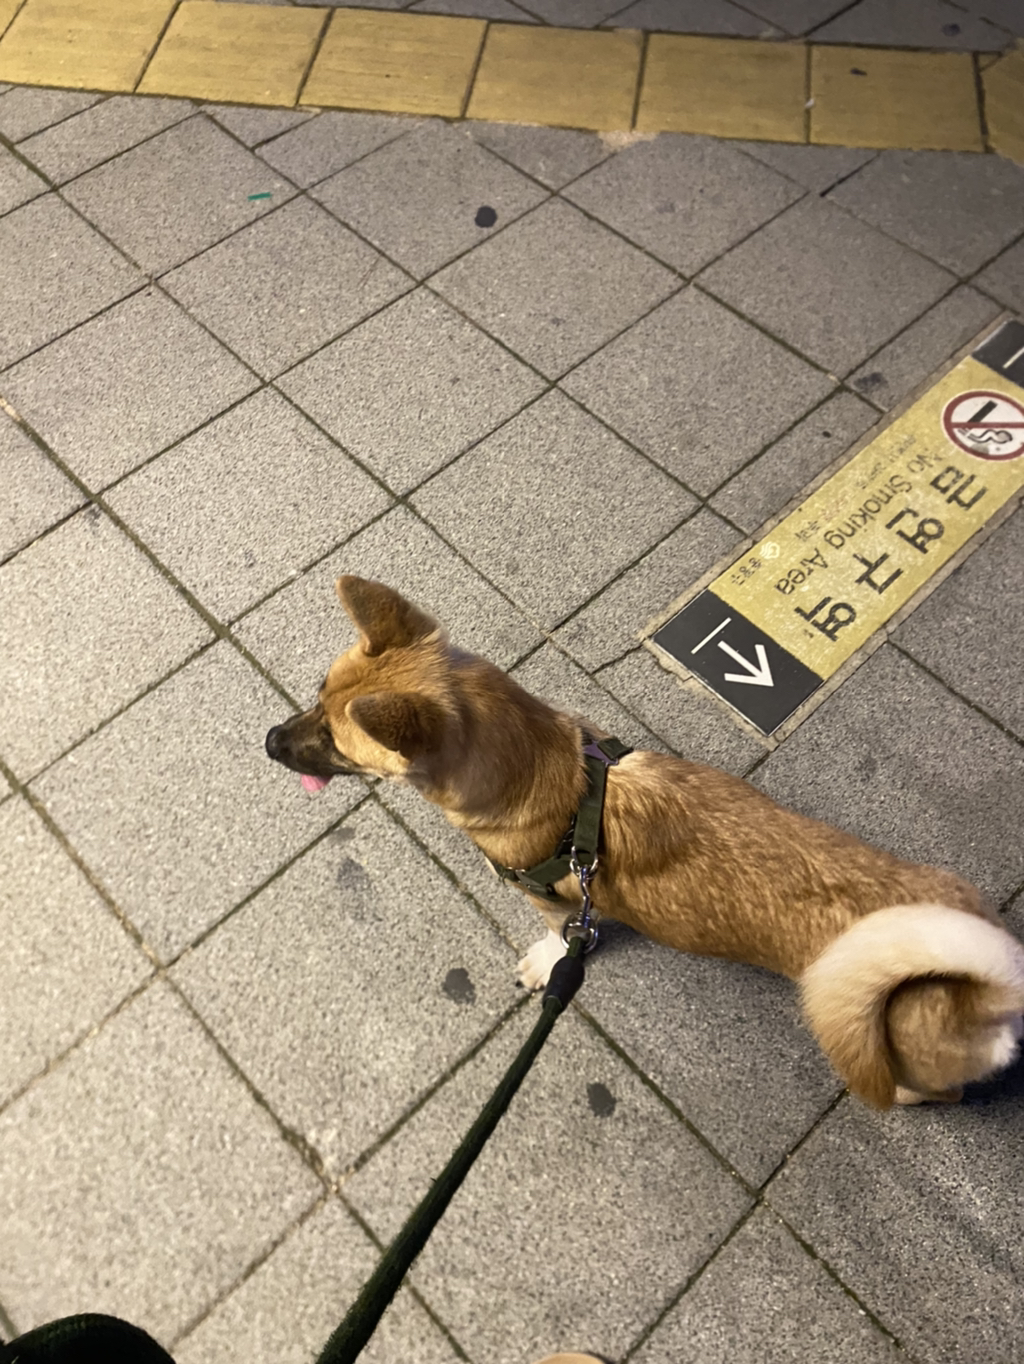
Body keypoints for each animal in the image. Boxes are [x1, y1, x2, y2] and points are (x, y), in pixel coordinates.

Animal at [265, 576, 1024, 1109]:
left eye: (336, 739)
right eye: (316, 693)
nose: (268, 741)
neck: (561, 776)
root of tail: (986, 983)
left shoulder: (555, 904)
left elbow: (561, 937)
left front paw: (547, 960)